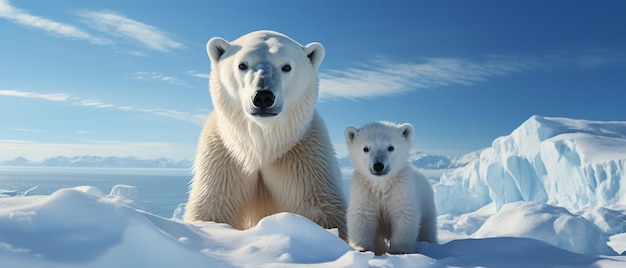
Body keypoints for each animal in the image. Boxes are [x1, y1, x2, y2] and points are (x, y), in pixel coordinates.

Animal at [183, 29, 348, 239]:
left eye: (286, 66)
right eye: (242, 64)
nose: (263, 96)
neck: (262, 145)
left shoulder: (304, 157)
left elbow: (321, 207)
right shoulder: (224, 157)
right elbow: (213, 206)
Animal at [344, 122, 436, 255]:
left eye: (391, 147)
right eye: (365, 148)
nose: (378, 166)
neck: (381, 183)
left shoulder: (401, 189)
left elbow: (404, 215)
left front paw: (399, 251)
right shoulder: (364, 190)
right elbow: (362, 216)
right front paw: (361, 248)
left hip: (427, 206)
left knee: (427, 230)